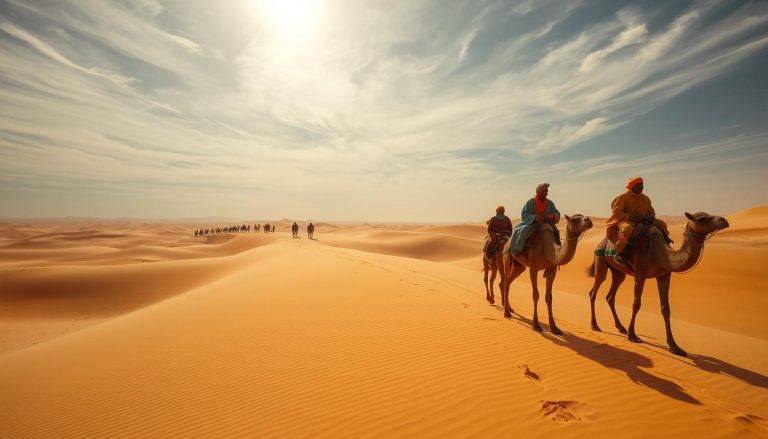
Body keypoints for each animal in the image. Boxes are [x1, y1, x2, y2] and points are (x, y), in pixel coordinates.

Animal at [587, 212, 729, 356]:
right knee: (594, 290)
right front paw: (633, 336)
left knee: (611, 295)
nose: (724, 220)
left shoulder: (664, 275)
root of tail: (601, 242)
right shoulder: (640, 273)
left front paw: (675, 347)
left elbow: (665, 308)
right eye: (702, 218)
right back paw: (595, 325)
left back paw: (621, 327)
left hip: (619, 272)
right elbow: (636, 304)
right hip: (600, 260)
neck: (660, 253)